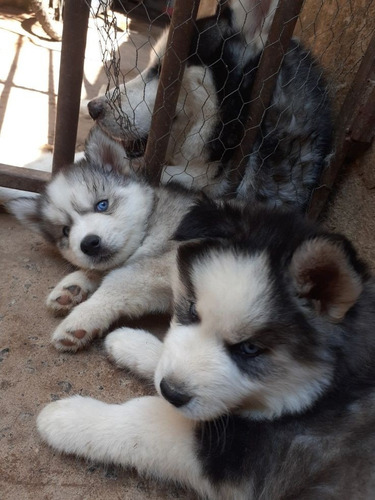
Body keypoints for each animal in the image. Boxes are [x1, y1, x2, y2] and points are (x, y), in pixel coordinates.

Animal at [37, 199, 375, 500]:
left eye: (250, 349)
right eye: (190, 310)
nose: (172, 392)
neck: (327, 393)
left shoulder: (240, 455)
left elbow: (146, 418)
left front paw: (67, 418)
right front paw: (130, 343)